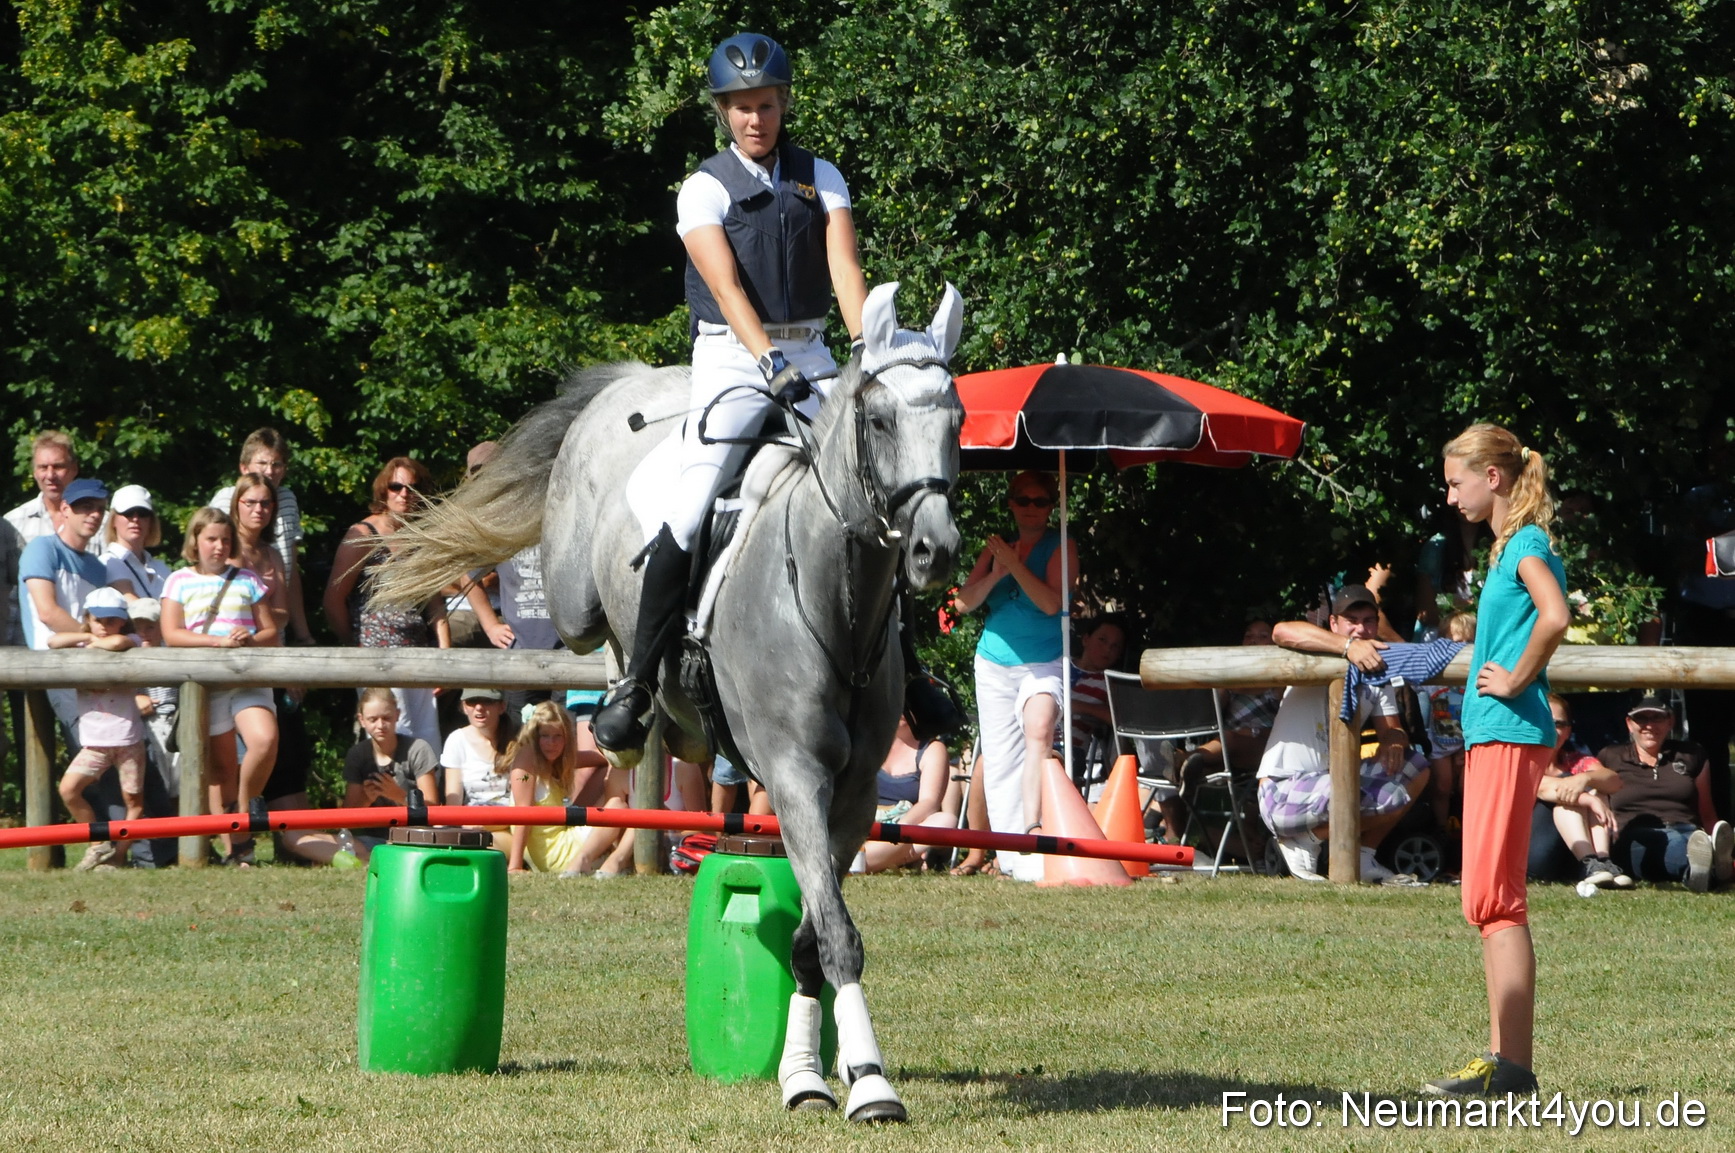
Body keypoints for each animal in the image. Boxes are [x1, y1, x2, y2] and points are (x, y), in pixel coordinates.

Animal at [375, 281, 964, 1122]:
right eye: (879, 420)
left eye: (955, 422)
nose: (933, 550)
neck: (831, 597)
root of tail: (631, 379)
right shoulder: (795, 779)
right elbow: (837, 936)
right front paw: (868, 1083)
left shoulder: (850, 798)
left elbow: (810, 938)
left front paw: (806, 1074)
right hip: (574, 589)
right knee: (605, 618)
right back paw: (623, 715)